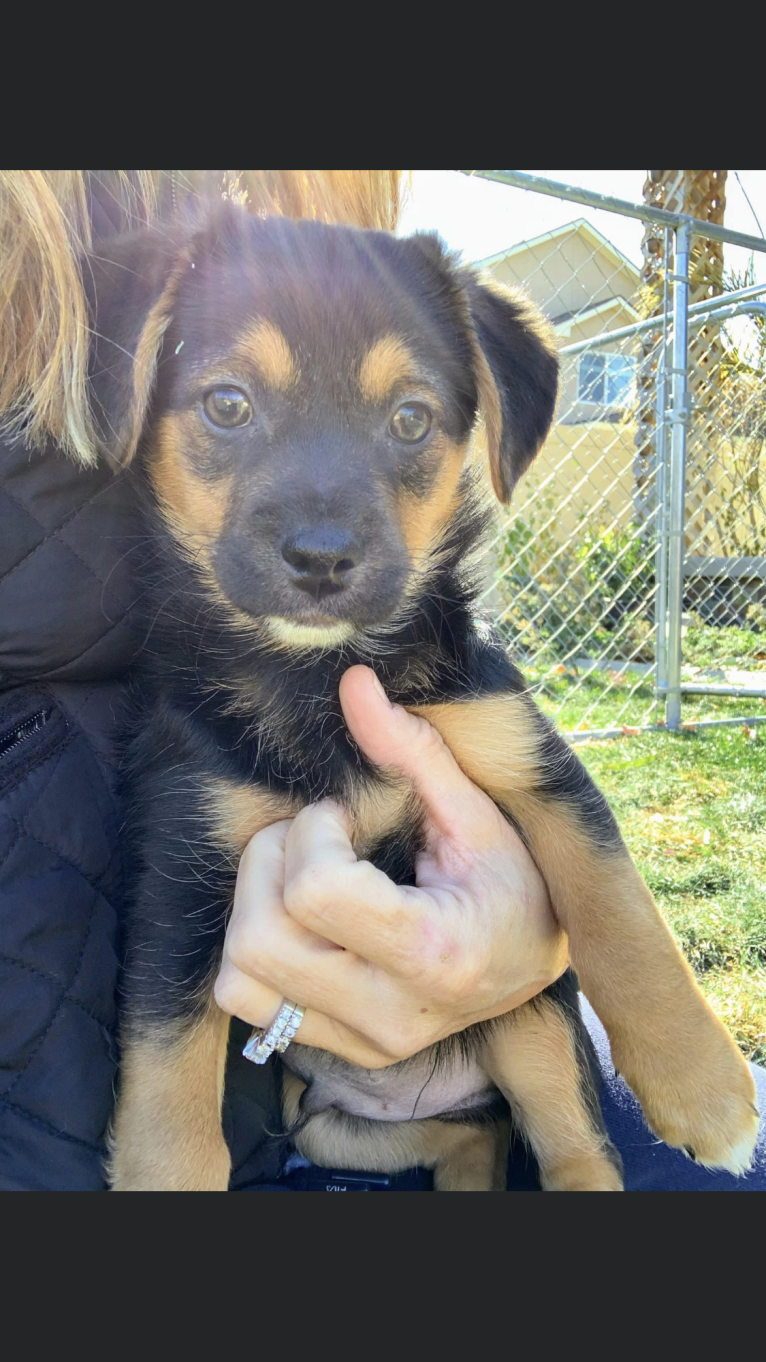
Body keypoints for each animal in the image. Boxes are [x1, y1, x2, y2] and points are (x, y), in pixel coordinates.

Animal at [84, 204, 757, 1193]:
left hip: (533, 1023)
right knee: (472, 1138)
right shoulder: (181, 864)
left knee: (569, 1144)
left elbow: (620, 907)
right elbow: (171, 1101)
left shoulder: (526, 755)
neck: (321, 677)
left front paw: (703, 1086)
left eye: (410, 419)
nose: (322, 557)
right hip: (338, 1126)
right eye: (227, 404)